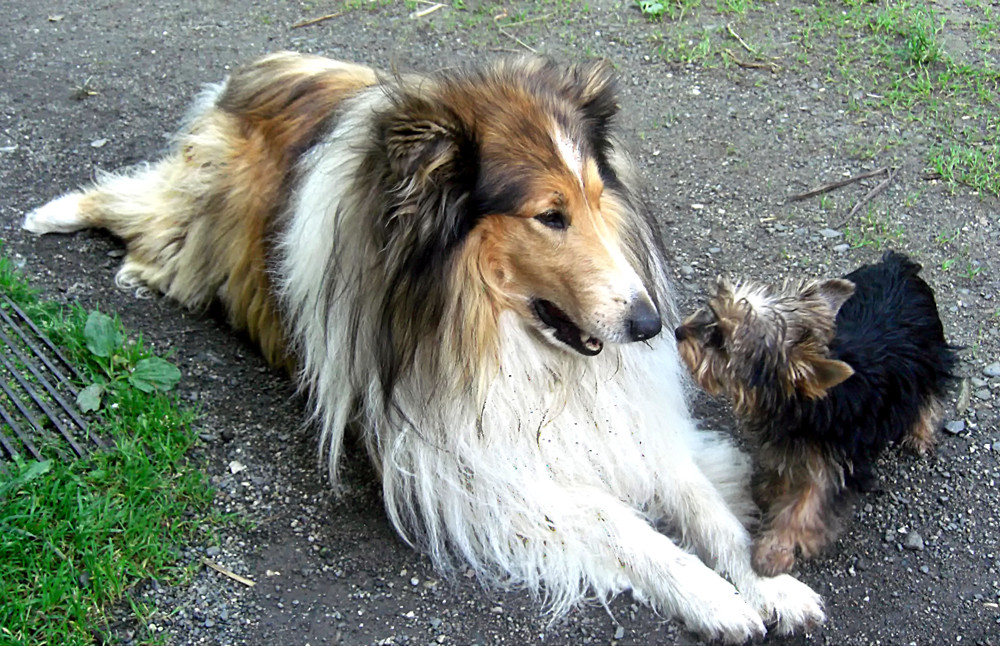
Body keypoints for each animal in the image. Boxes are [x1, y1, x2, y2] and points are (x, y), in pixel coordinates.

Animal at [23, 52, 824, 644]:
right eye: (550, 215)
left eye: (601, 201)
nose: (652, 325)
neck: (501, 337)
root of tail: (264, 66)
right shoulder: (475, 471)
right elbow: (620, 522)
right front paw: (713, 599)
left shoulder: (631, 425)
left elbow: (705, 506)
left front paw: (769, 581)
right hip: (198, 221)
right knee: (138, 207)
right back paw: (62, 220)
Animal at [676, 253, 956, 576]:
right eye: (713, 309)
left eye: (720, 342)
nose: (679, 331)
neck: (802, 402)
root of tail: (898, 265)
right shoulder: (788, 444)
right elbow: (784, 471)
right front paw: (771, 490)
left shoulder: (836, 462)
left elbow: (805, 506)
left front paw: (774, 551)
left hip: (930, 354)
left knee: (931, 392)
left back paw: (920, 433)